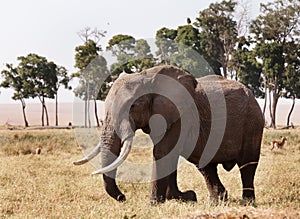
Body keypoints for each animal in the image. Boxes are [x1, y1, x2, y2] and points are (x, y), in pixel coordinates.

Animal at [74, 64, 264, 204]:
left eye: (133, 106)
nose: (123, 197)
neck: (147, 76)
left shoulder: (181, 116)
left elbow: (162, 152)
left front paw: (155, 203)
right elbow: (167, 153)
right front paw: (181, 197)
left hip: (253, 122)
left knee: (247, 164)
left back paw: (247, 202)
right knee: (206, 166)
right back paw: (217, 201)